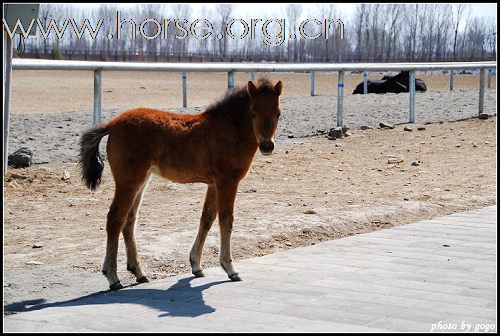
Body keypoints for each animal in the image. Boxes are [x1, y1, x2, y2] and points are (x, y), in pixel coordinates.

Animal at [77, 77, 282, 290]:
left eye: (278, 113)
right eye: (253, 112)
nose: (267, 145)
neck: (228, 130)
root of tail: (112, 123)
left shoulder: (213, 184)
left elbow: (207, 219)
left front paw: (196, 265)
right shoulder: (227, 181)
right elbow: (226, 220)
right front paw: (230, 268)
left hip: (141, 182)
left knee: (129, 220)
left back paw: (139, 273)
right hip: (128, 181)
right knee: (115, 219)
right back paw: (113, 277)